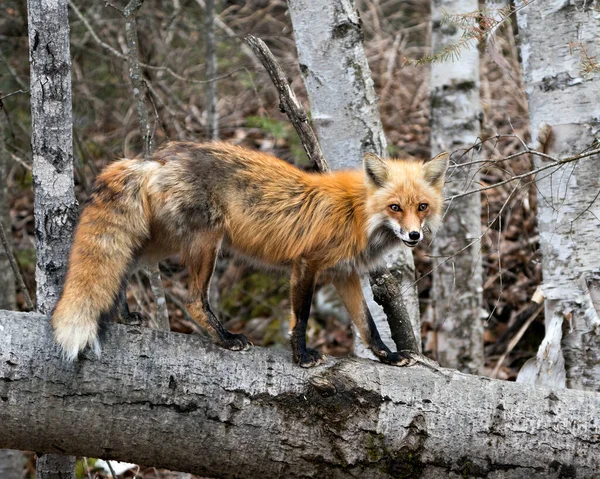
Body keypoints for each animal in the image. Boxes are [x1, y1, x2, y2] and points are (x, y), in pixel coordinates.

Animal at [51, 142, 448, 368]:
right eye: (395, 207)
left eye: (422, 207)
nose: (414, 235)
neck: (356, 214)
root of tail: (153, 159)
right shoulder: (307, 263)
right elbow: (301, 317)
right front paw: (301, 356)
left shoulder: (343, 274)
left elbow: (367, 325)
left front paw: (389, 356)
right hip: (207, 243)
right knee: (193, 300)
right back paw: (225, 338)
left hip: (164, 241)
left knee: (124, 263)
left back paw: (122, 313)